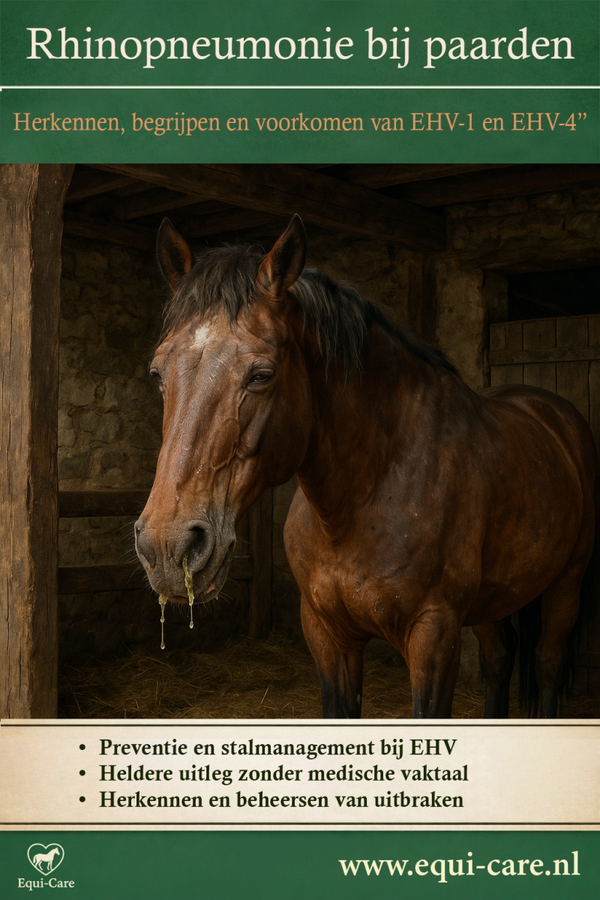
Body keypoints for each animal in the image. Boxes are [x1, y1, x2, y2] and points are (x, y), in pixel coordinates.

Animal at [135, 214, 596, 718]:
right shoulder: (327, 635)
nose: (168, 546)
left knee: (547, 663)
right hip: (494, 599)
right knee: (499, 659)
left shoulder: (434, 635)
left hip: (567, 584)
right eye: (158, 373)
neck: (364, 494)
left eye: (262, 374)